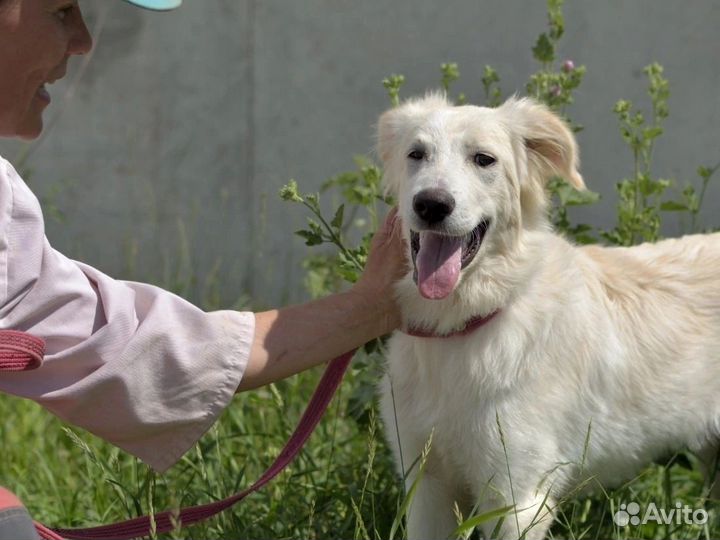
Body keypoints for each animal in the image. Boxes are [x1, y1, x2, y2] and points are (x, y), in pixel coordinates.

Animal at [376, 95, 720, 540]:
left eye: (484, 159)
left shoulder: (517, 500)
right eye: (416, 154)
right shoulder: (427, 488)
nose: (431, 205)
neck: (461, 329)